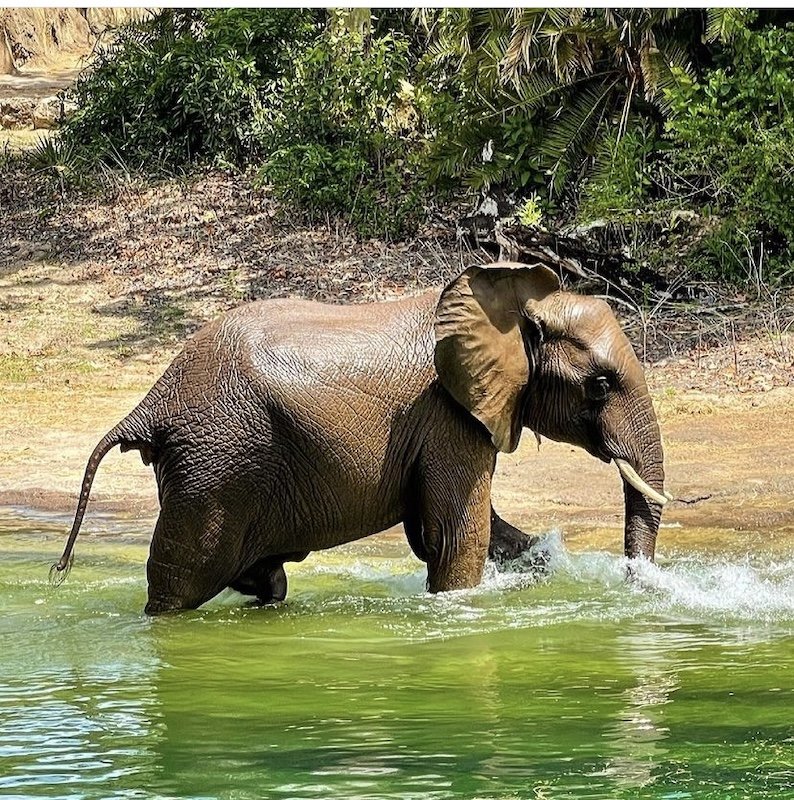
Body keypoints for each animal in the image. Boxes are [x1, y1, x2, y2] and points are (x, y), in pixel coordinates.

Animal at [52, 261, 668, 615]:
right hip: (214, 468)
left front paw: (540, 558)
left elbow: (459, 529)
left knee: (266, 578)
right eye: (600, 386)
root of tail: (150, 405)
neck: (514, 304)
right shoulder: (448, 415)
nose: (638, 584)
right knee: (179, 582)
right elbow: (454, 535)